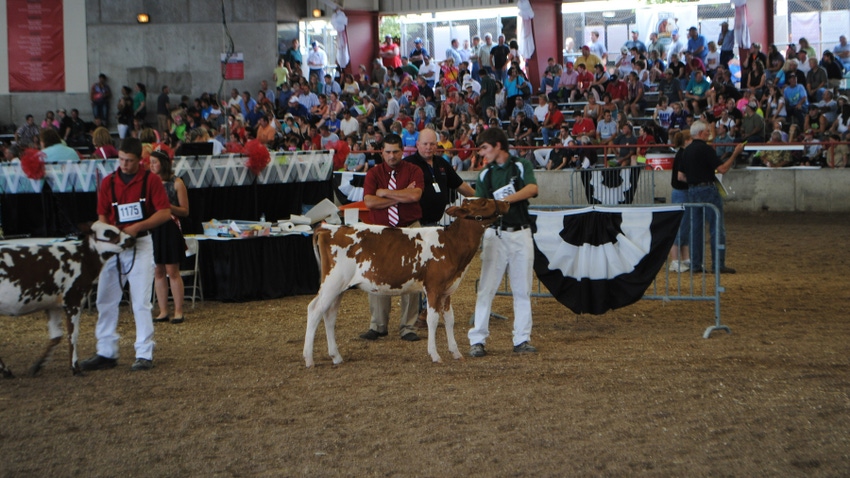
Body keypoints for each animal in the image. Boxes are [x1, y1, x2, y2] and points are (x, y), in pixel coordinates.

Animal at [0, 222, 134, 380]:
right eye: (108, 233)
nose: (131, 238)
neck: (83, 258)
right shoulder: (73, 300)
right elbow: (73, 335)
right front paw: (75, 368)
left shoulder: (53, 305)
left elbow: (56, 337)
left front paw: (37, 366)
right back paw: (6, 371)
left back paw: (7, 371)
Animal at [304, 197, 506, 366]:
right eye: (483, 202)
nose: (505, 202)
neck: (451, 244)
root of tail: (328, 228)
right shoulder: (433, 287)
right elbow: (433, 319)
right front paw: (435, 355)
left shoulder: (447, 290)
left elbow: (449, 319)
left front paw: (456, 352)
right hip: (332, 282)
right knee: (314, 310)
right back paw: (309, 359)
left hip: (340, 287)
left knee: (329, 315)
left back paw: (336, 356)